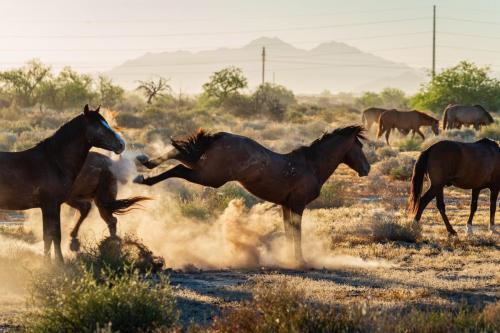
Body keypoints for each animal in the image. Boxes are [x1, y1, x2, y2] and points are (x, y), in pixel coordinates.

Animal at [0, 105, 126, 264]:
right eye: (98, 127)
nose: (121, 144)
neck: (54, 162)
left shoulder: (52, 206)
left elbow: (51, 236)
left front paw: (51, 261)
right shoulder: (50, 205)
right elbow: (53, 235)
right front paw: (56, 263)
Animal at [135, 125, 370, 264]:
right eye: (359, 146)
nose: (367, 169)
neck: (311, 165)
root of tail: (221, 136)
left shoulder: (286, 205)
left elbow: (289, 232)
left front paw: (289, 258)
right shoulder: (297, 205)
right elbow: (297, 232)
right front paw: (299, 261)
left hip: (204, 168)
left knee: (178, 154)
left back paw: (144, 163)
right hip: (210, 176)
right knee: (178, 168)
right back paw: (143, 178)